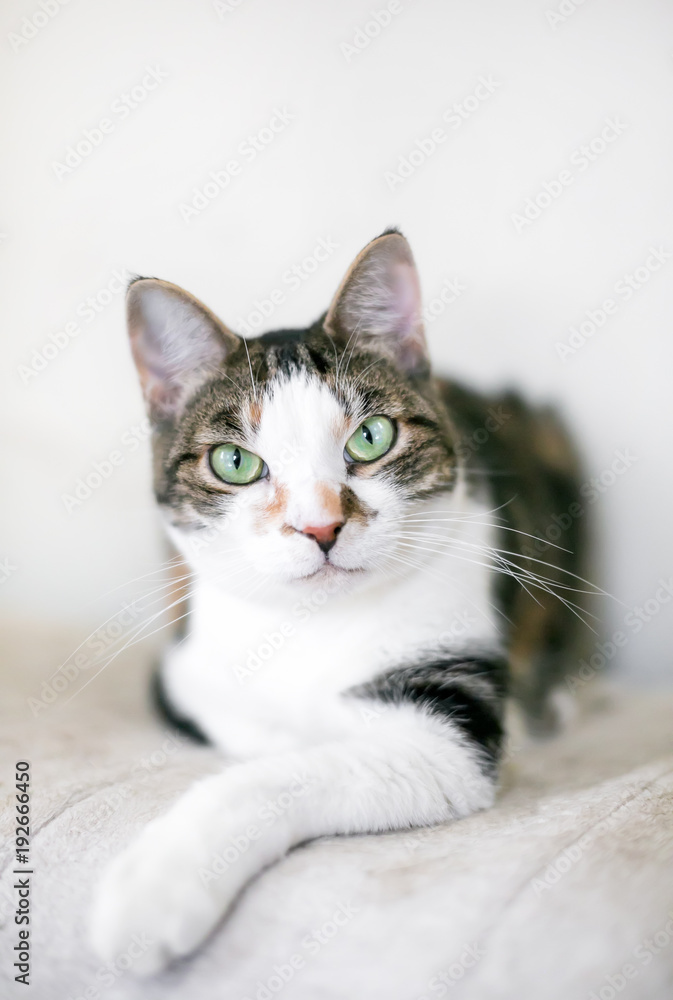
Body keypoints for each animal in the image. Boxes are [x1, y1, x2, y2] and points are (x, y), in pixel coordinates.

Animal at [88, 230, 588, 972]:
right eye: (234, 462)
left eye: (371, 437)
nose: (320, 526)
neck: (314, 626)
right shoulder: (186, 671)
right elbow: (259, 730)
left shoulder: (446, 729)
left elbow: (280, 775)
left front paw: (151, 891)